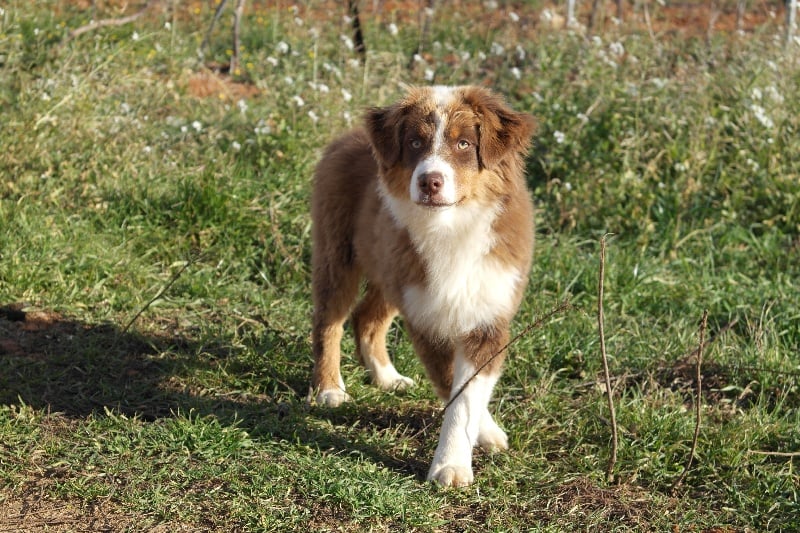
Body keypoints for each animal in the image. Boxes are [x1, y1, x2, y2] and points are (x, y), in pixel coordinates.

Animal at [310, 86, 536, 486]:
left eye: (464, 143)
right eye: (415, 142)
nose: (429, 182)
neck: (451, 227)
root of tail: (348, 136)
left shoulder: (487, 316)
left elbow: (469, 394)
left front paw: (473, 445)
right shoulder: (426, 316)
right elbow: (453, 390)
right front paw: (453, 465)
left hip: (393, 268)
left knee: (366, 317)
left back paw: (386, 377)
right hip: (338, 251)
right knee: (329, 320)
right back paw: (330, 388)